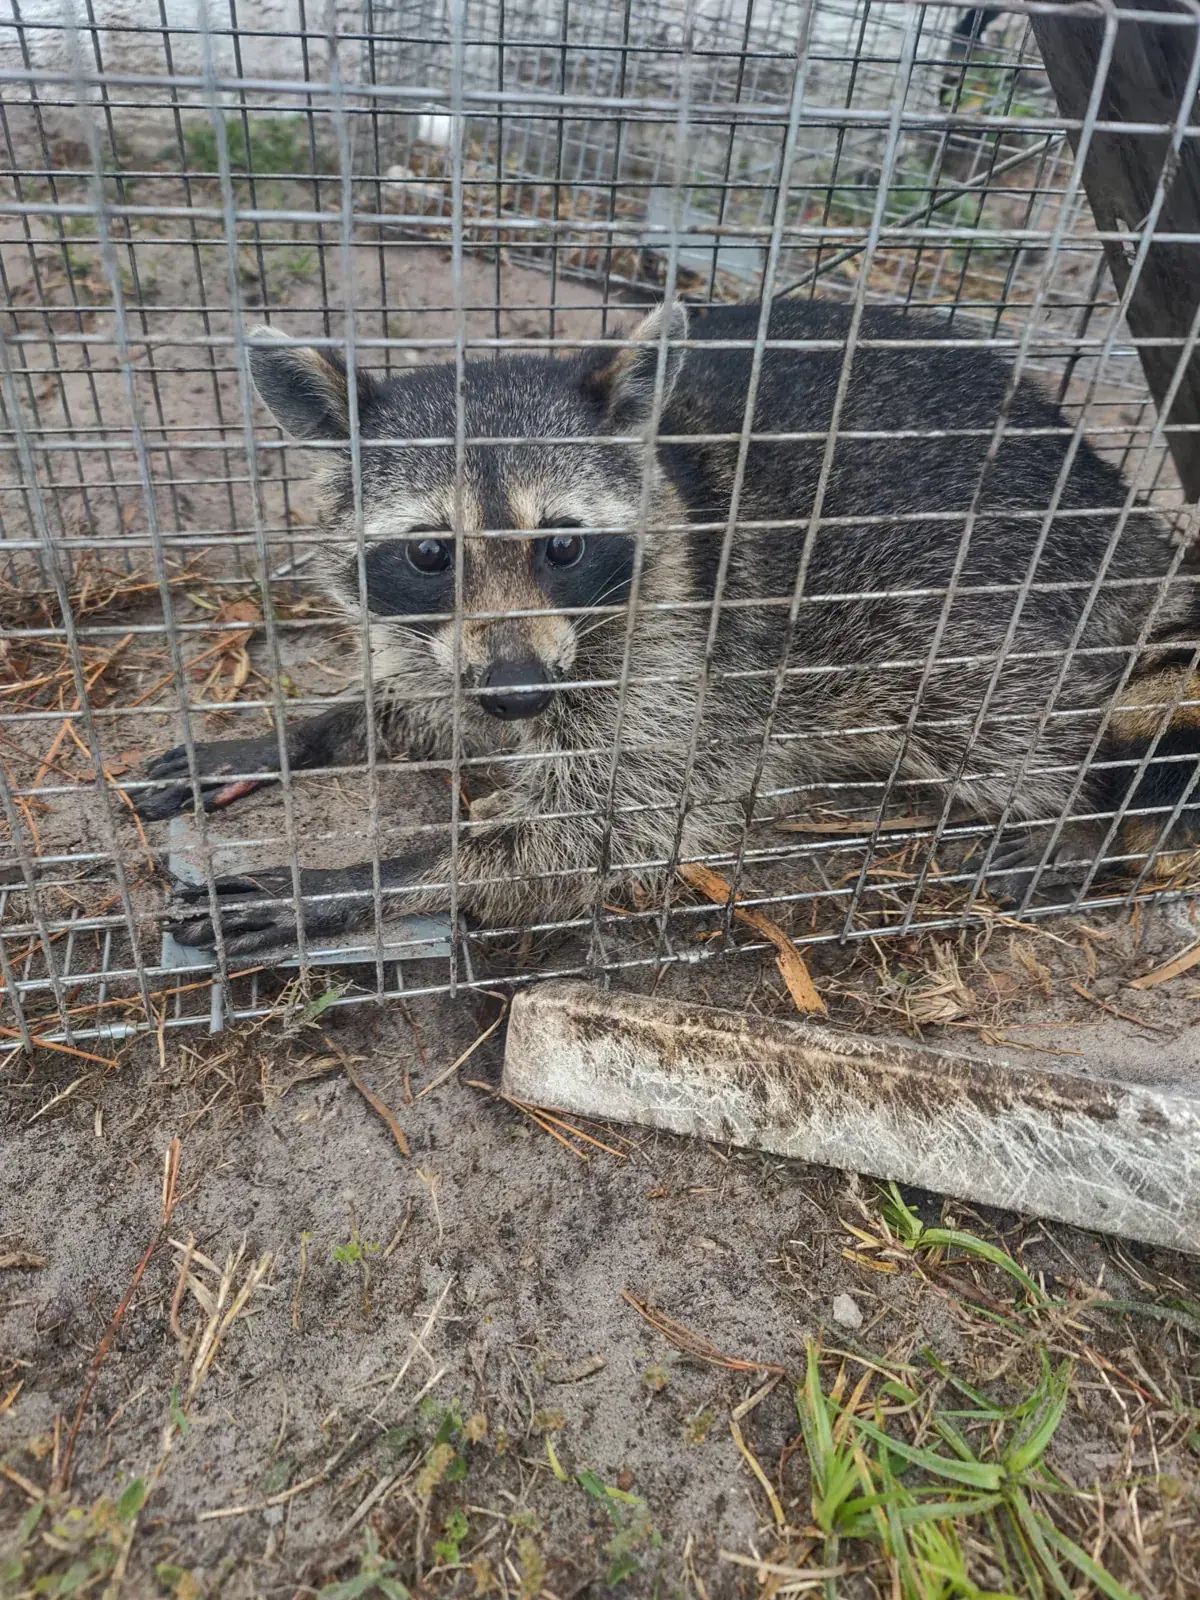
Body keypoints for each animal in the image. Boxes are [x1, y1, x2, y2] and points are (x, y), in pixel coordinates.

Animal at [136, 298, 1200, 957]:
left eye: (563, 546)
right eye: (431, 553)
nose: (517, 693)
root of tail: (1124, 512)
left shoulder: (678, 655)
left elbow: (597, 829)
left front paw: (353, 881)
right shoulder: (443, 646)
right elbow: (415, 703)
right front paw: (287, 735)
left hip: (988, 592)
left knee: (995, 717)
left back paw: (1076, 822)